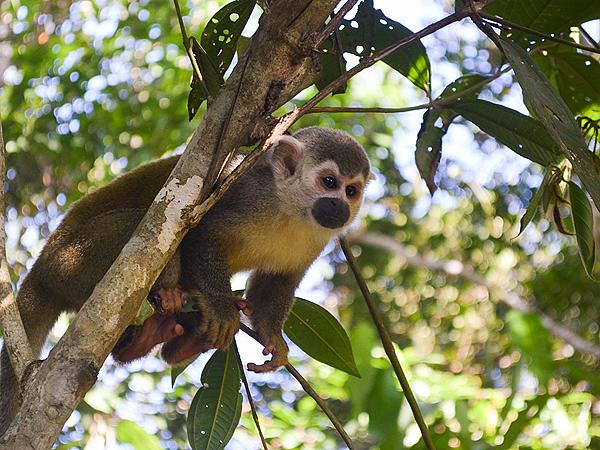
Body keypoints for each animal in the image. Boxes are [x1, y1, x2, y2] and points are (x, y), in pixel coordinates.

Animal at [0, 126, 370, 432]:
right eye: (329, 183)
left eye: (352, 190)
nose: (340, 208)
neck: (289, 208)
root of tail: (42, 266)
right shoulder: (247, 192)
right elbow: (196, 231)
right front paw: (221, 308)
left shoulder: (317, 239)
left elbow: (277, 283)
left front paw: (273, 337)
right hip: (71, 263)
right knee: (152, 234)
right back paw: (157, 309)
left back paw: (169, 340)